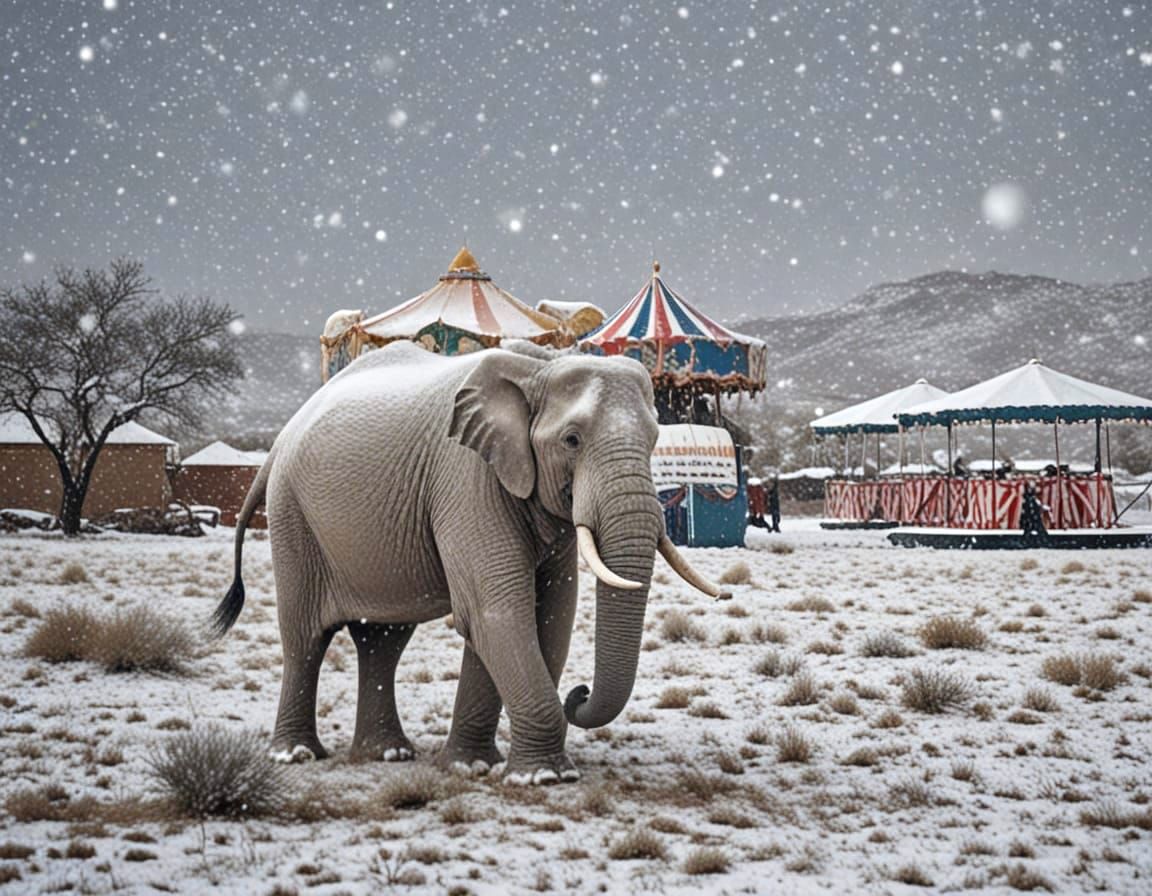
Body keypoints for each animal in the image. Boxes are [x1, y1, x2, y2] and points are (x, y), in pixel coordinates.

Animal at [211, 340, 726, 784]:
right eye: (572, 440)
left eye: (656, 439)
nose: (578, 694)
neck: (540, 366)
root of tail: (280, 439)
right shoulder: (466, 477)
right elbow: (495, 612)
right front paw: (544, 777)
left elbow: (547, 618)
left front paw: (472, 766)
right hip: (291, 513)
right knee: (305, 637)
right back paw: (296, 755)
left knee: (382, 640)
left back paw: (387, 754)